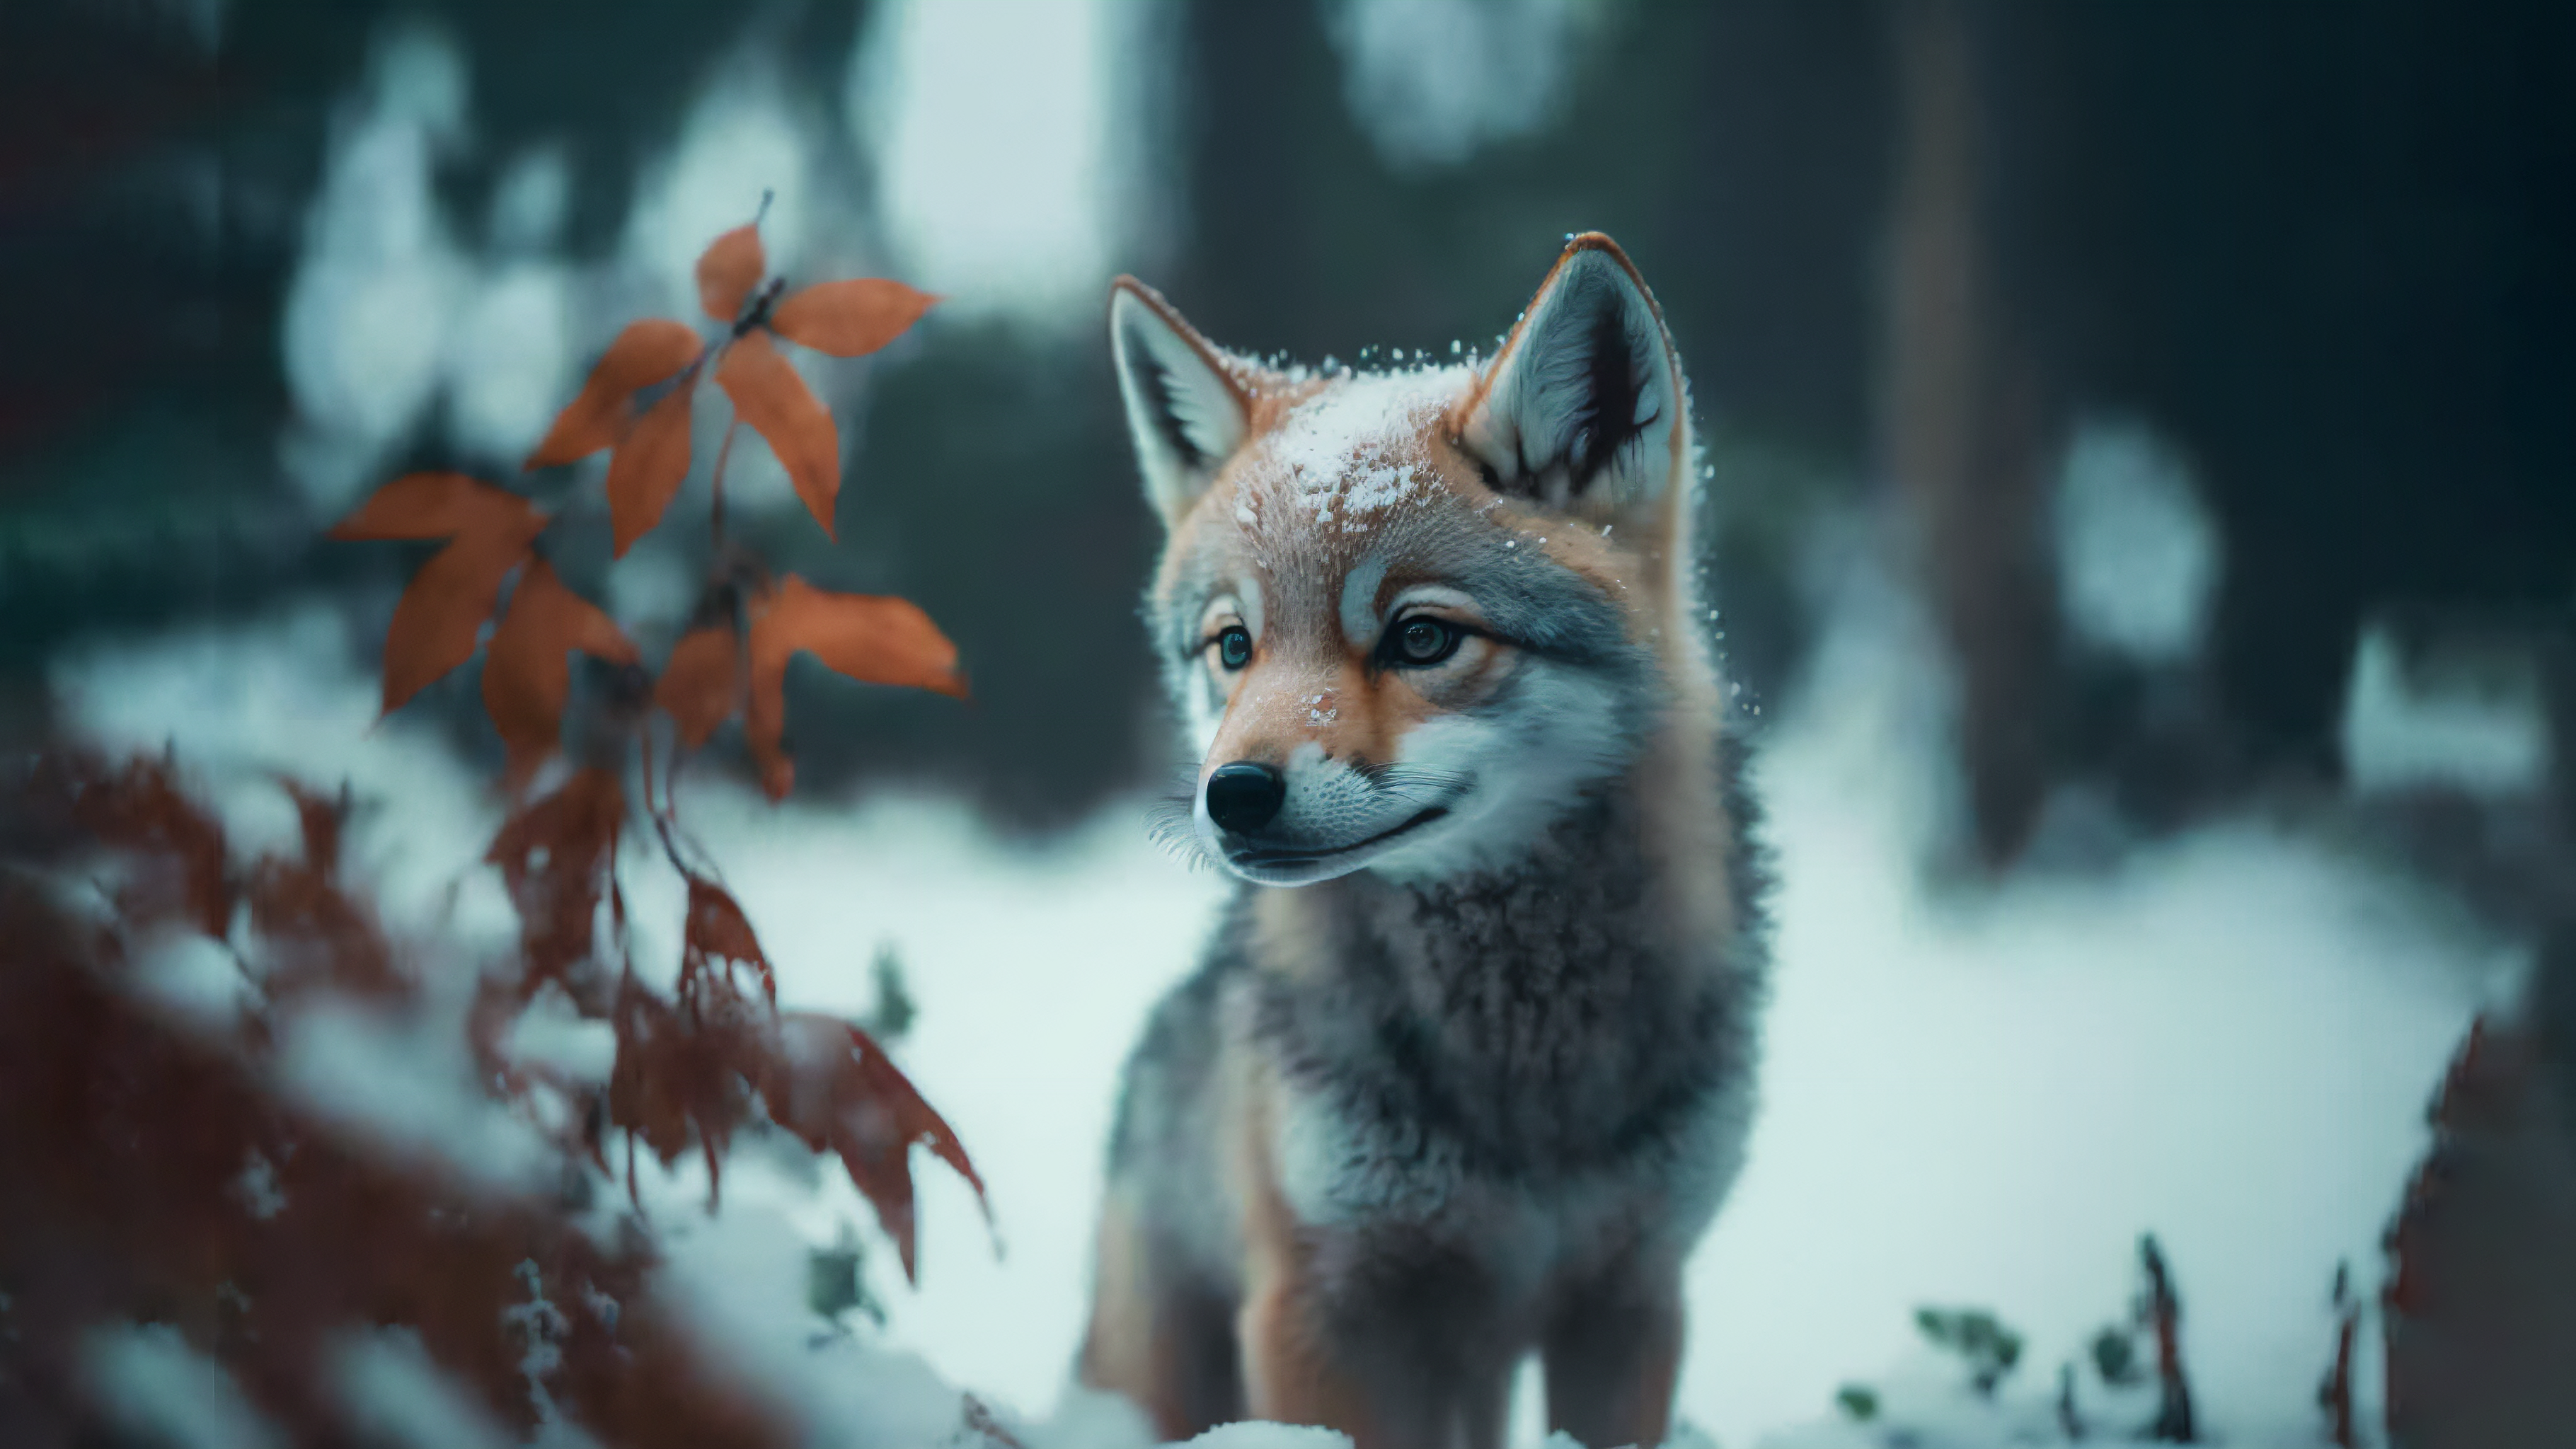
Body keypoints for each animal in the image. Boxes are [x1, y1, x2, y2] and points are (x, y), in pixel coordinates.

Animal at [1077, 234, 1768, 1449]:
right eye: (1233, 647)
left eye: (1421, 638)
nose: (1232, 795)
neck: (1521, 1065)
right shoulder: (1319, 1307)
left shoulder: (1631, 1299)